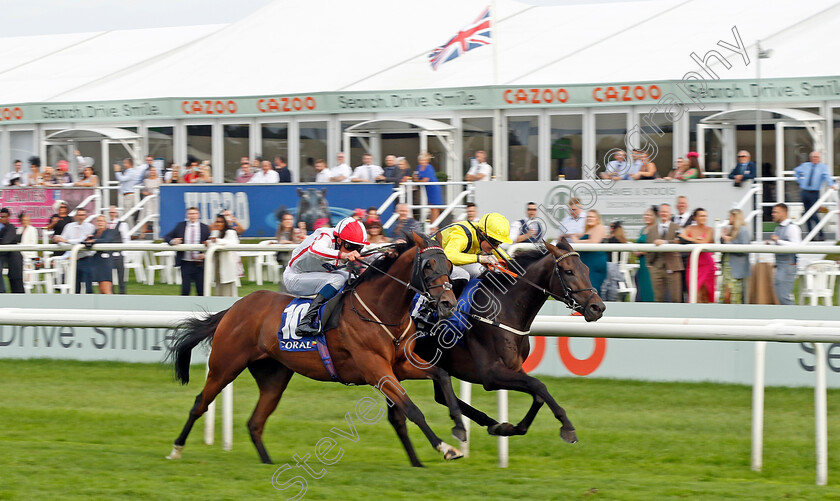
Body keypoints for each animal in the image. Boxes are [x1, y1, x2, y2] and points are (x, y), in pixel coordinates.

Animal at [164, 232, 466, 462]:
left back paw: (267, 462)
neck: (381, 310)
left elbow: (441, 375)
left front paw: (460, 428)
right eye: (428, 266)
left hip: (273, 376)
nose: (448, 304)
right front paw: (445, 448)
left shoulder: (401, 364)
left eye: (449, 265)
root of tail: (234, 308)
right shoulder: (376, 370)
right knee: (200, 404)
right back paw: (176, 449)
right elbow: (412, 409)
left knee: (255, 422)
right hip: (225, 366)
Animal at [398, 240, 608, 458]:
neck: (504, 308)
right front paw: (567, 427)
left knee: (440, 395)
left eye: (586, 269)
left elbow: (538, 395)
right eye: (568, 271)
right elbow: (539, 385)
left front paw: (508, 428)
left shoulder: (514, 367)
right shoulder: (491, 374)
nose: (597, 307)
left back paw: (489, 423)